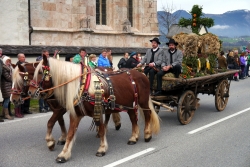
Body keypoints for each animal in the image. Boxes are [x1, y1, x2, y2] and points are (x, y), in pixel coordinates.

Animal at [30, 55, 159, 162]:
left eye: (40, 72)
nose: (31, 92)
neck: (82, 86)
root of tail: (141, 74)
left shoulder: (97, 111)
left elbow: (101, 130)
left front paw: (102, 149)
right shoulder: (75, 114)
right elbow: (70, 134)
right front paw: (64, 154)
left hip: (142, 102)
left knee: (147, 114)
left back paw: (147, 134)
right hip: (131, 105)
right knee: (133, 119)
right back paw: (133, 137)